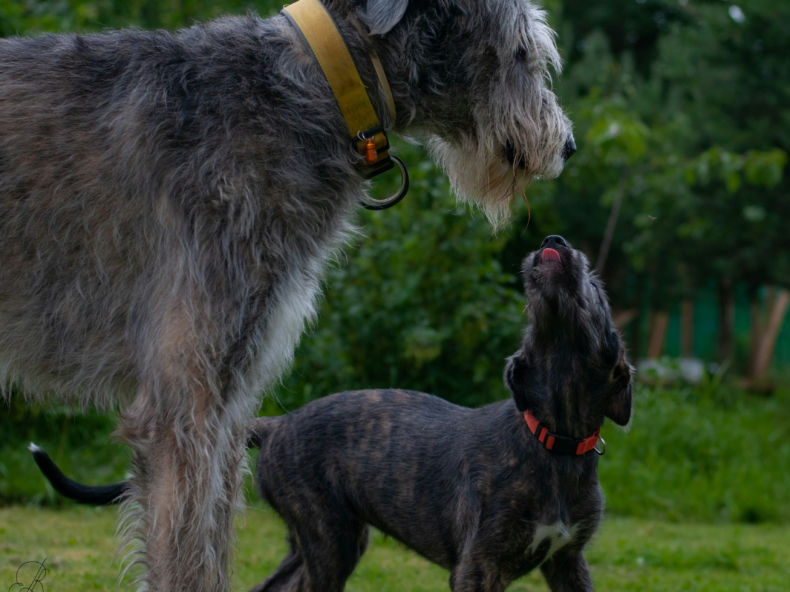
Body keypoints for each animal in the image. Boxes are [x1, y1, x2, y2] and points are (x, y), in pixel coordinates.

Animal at [0, 1, 576, 592]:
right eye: (521, 52)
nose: (568, 146)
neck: (316, 86)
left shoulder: (229, 403)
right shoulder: (183, 406)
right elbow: (184, 556)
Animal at [251, 236, 636, 592]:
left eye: (595, 288)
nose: (553, 240)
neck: (554, 439)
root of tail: (278, 424)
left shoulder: (568, 559)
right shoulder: (477, 567)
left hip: (320, 539)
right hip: (329, 537)